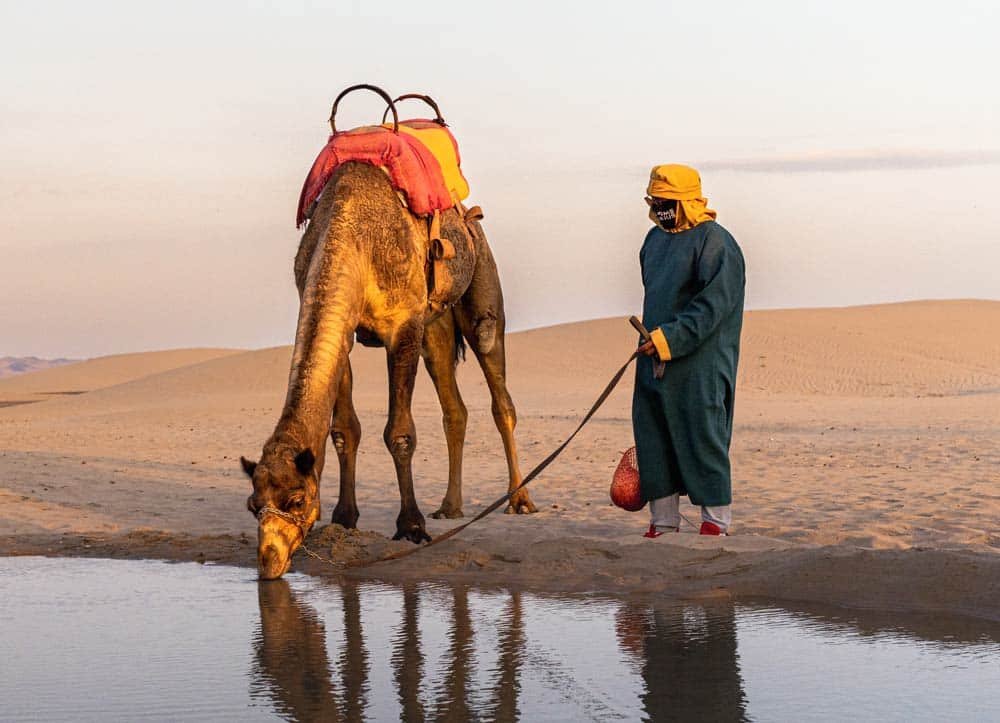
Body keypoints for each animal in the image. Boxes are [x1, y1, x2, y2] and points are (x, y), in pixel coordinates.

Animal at [240, 161, 540, 580]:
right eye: (253, 506)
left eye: (297, 500)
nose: (268, 562)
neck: (352, 241)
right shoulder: (346, 329)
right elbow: (344, 430)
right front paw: (345, 516)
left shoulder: (403, 326)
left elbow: (399, 433)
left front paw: (411, 525)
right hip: (435, 328)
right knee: (455, 408)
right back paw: (450, 506)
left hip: (481, 279)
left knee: (497, 383)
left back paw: (519, 499)